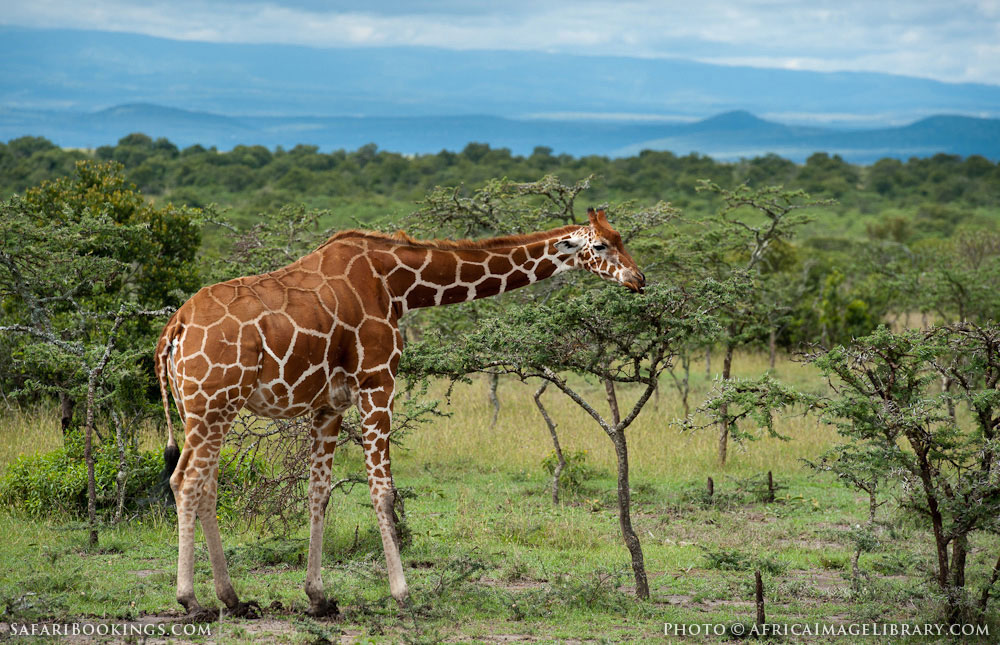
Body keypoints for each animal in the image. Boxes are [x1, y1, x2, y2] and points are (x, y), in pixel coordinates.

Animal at [152, 209, 644, 616]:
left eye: (621, 238)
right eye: (602, 246)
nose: (639, 279)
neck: (398, 285)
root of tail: (172, 331)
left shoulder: (329, 404)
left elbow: (319, 492)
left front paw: (318, 597)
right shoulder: (378, 382)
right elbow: (383, 491)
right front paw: (404, 594)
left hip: (207, 409)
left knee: (206, 486)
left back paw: (233, 599)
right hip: (213, 403)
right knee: (185, 481)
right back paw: (190, 599)